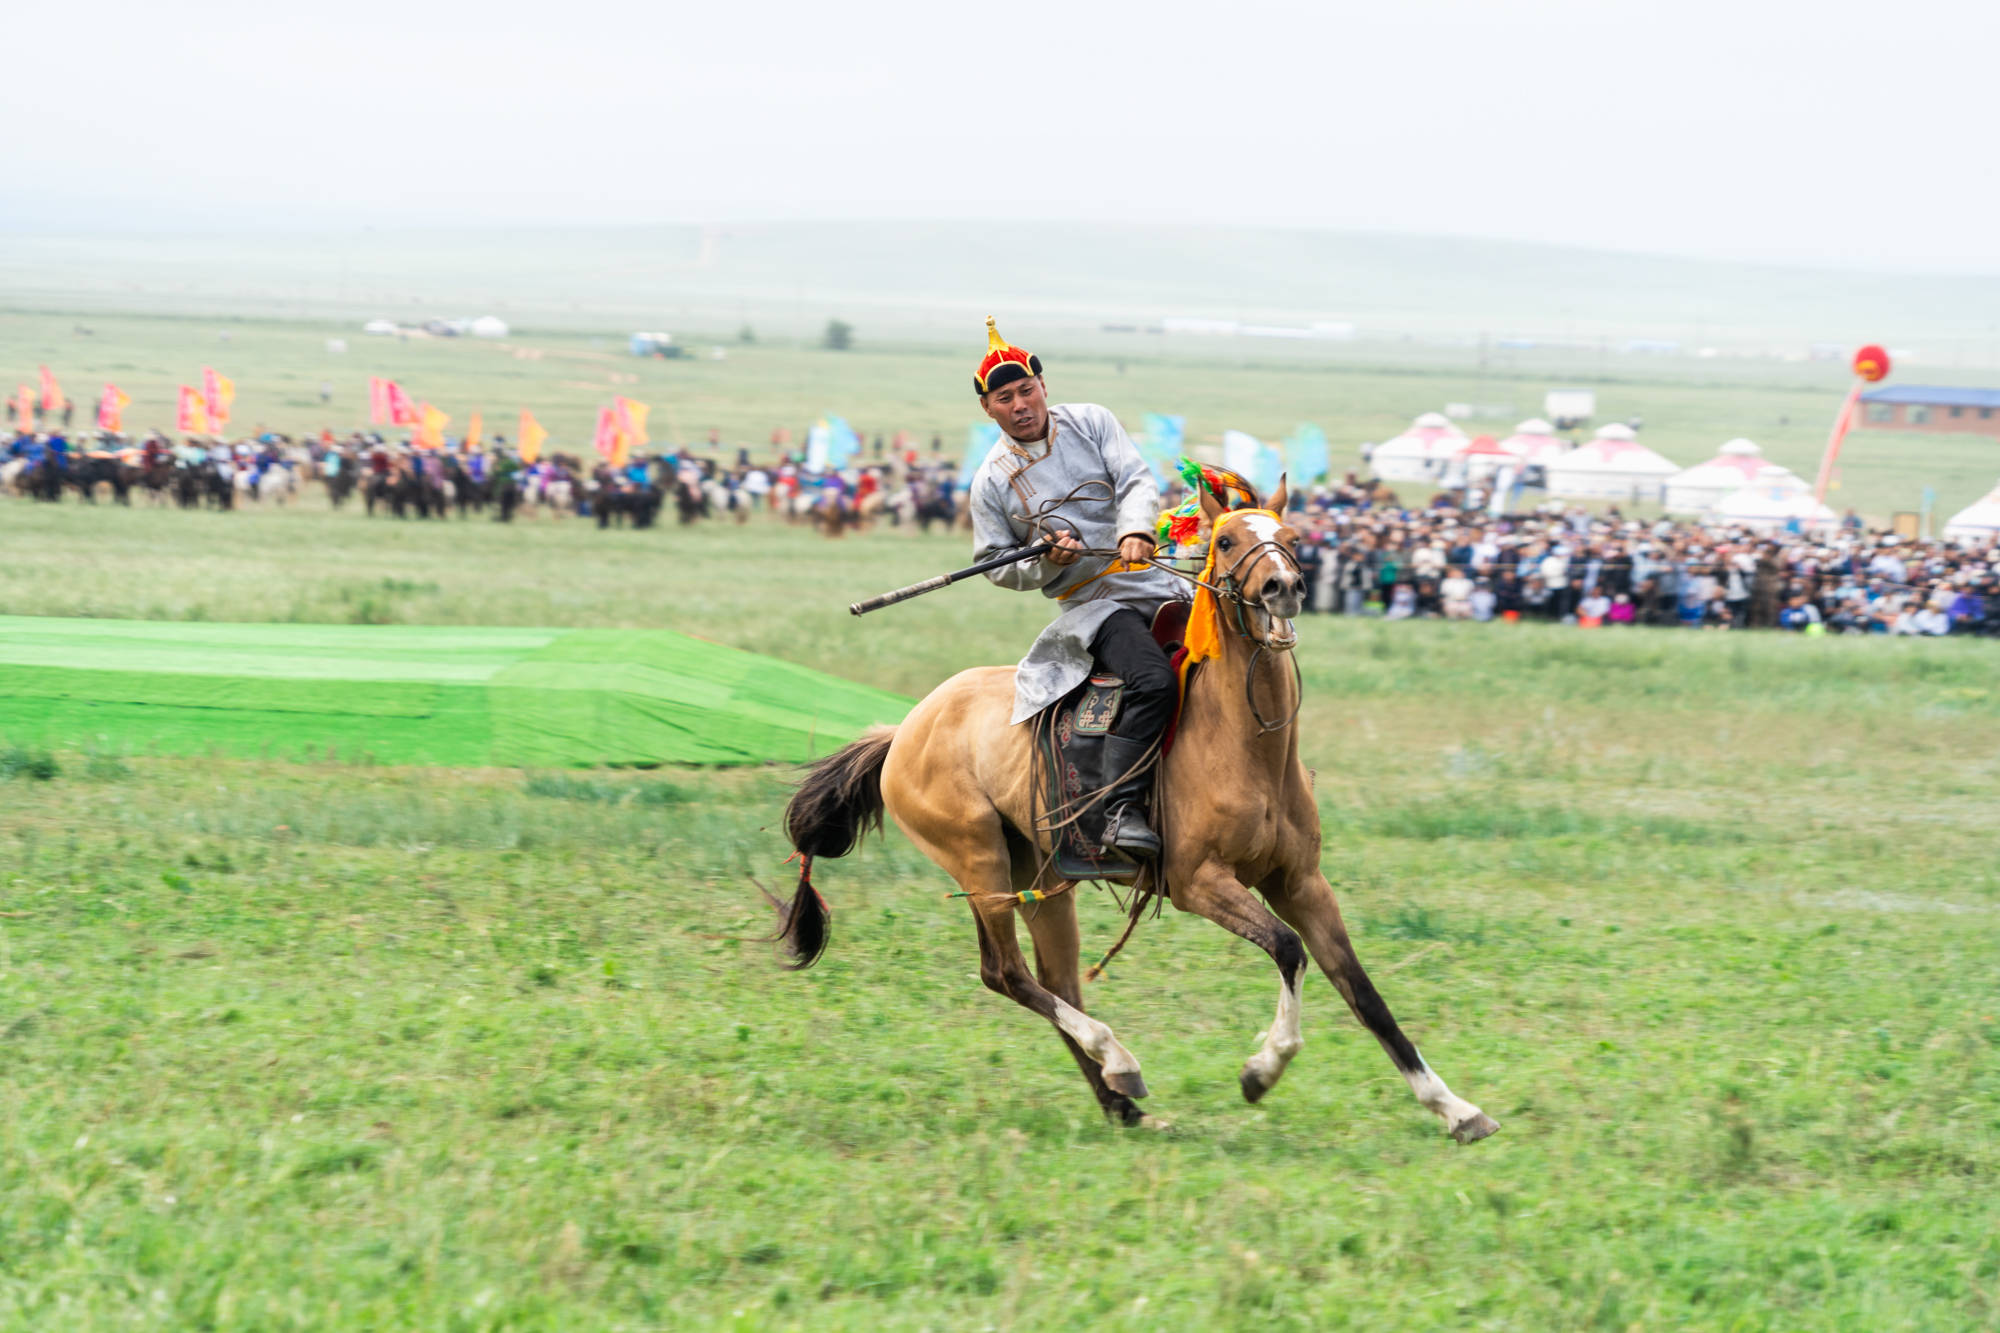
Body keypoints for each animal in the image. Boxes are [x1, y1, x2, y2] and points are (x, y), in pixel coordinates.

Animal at [780, 478, 1504, 1144]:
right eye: (1226, 541)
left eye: (1294, 537)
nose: (1283, 587)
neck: (1245, 744)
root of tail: (903, 728)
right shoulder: (1198, 883)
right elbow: (1287, 948)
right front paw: (1262, 1069)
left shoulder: (1300, 881)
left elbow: (1361, 990)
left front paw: (1454, 1108)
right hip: (978, 861)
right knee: (1006, 973)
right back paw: (1117, 1058)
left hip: (1040, 872)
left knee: (1056, 979)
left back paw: (1119, 1096)